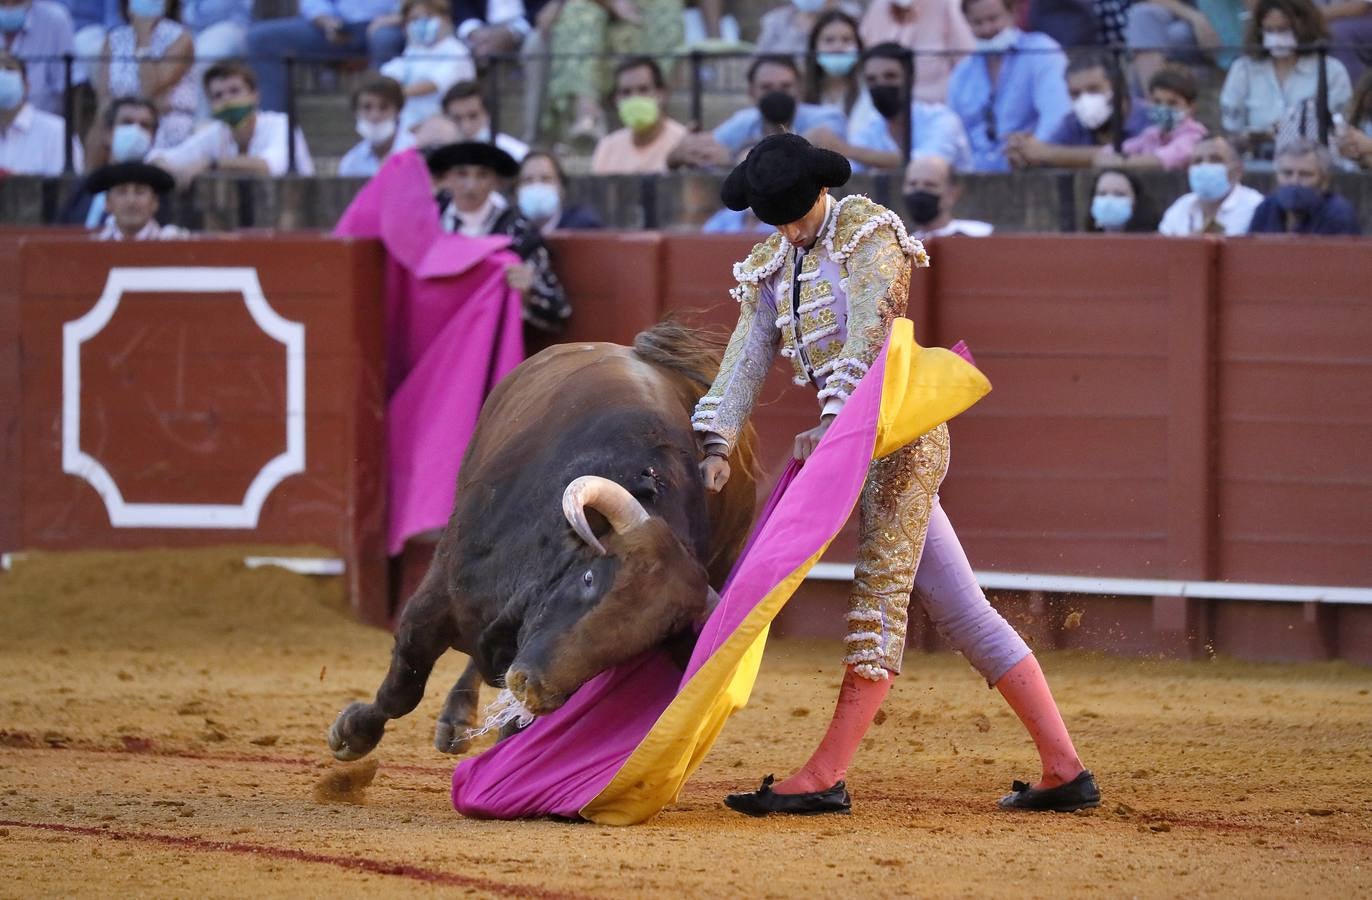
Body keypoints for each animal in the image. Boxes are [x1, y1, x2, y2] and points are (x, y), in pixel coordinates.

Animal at [329, 323, 762, 757]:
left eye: (650, 639)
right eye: (589, 578)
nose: (533, 688)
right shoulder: (437, 594)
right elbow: (405, 683)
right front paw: (352, 733)